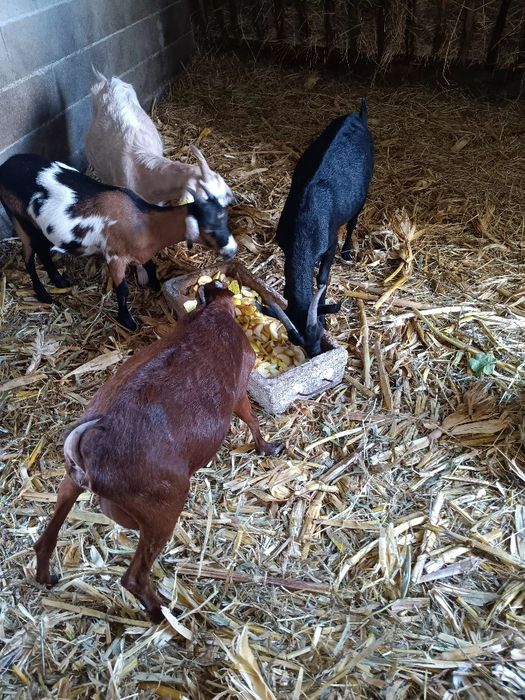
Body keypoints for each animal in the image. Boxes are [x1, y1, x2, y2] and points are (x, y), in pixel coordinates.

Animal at [0, 153, 237, 330]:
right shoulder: (115, 256)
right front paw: (127, 321)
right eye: (208, 227)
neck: (146, 222)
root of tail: (6, 165)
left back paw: (59, 281)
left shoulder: (141, 251)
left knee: (42, 251)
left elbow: (150, 266)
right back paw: (43, 294)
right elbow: (122, 290)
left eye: (224, 216)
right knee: (30, 255)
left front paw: (155, 286)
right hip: (21, 219)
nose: (233, 249)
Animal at [34, 282, 278, 622]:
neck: (211, 314)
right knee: (134, 577)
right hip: (162, 508)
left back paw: (47, 578)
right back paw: (164, 615)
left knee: (45, 539)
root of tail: (89, 459)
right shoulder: (240, 388)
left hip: (69, 483)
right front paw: (268, 447)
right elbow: (251, 418)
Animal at [261, 99, 374, 357]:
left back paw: (348, 251)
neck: (304, 225)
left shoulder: (329, 243)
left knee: (353, 221)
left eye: (320, 328)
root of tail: (357, 116)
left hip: (363, 191)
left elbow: (323, 278)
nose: (315, 353)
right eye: (294, 339)